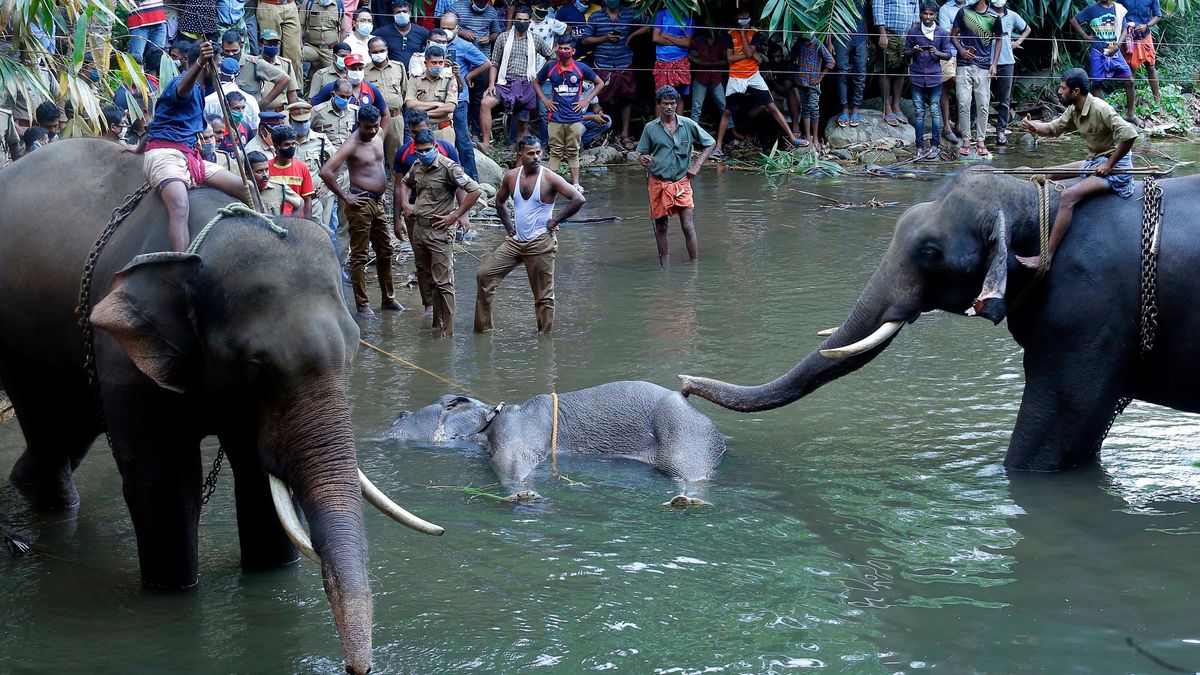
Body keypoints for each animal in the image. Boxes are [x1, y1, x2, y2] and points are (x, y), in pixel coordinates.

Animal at [0, 138, 444, 672]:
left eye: (356, 347)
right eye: (253, 366)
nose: (358, 667)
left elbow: (256, 478)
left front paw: (270, 573)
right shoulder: (122, 354)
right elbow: (165, 483)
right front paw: (173, 592)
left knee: (69, 428)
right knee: (47, 425)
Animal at [388, 379, 724, 499]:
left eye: (447, 402)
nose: (397, 414)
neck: (492, 415)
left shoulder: (515, 431)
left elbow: (510, 461)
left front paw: (525, 496)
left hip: (684, 436)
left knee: (689, 473)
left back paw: (686, 501)